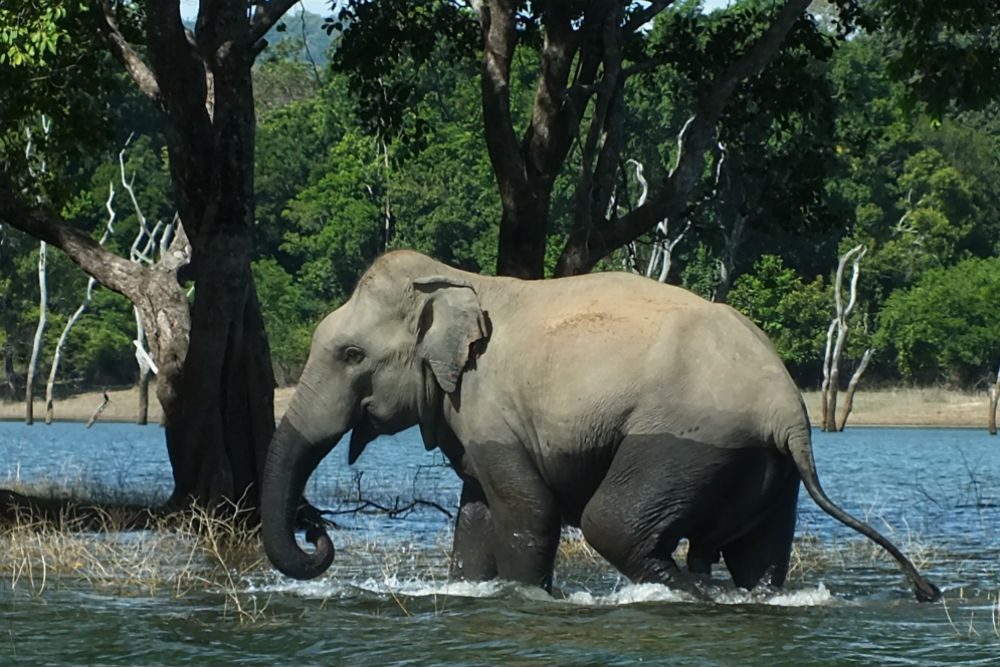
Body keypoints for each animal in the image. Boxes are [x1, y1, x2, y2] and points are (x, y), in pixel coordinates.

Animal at [258, 248, 936, 604]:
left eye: (351, 355)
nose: (314, 525)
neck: (456, 279)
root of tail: (790, 412)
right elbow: (475, 512)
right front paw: (470, 590)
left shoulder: (491, 404)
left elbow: (527, 511)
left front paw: (531, 601)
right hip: (765, 468)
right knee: (756, 557)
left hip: (683, 442)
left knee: (613, 525)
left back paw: (692, 594)